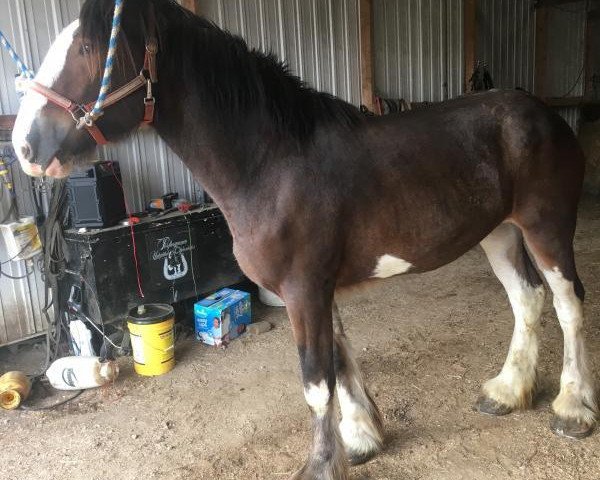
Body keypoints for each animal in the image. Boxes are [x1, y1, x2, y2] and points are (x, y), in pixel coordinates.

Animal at [11, 1, 596, 478]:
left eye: (90, 48)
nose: (25, 146)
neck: (270, 163)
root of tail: (542, 113)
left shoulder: (303, 290)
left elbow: (316, 382)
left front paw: (321, 465)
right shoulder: (317, 289)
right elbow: (338, 360)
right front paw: (361, 441)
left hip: (546, 228)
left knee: (567, 304)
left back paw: (573, 408)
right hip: (498, 232)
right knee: (527, 299)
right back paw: (507, 392)